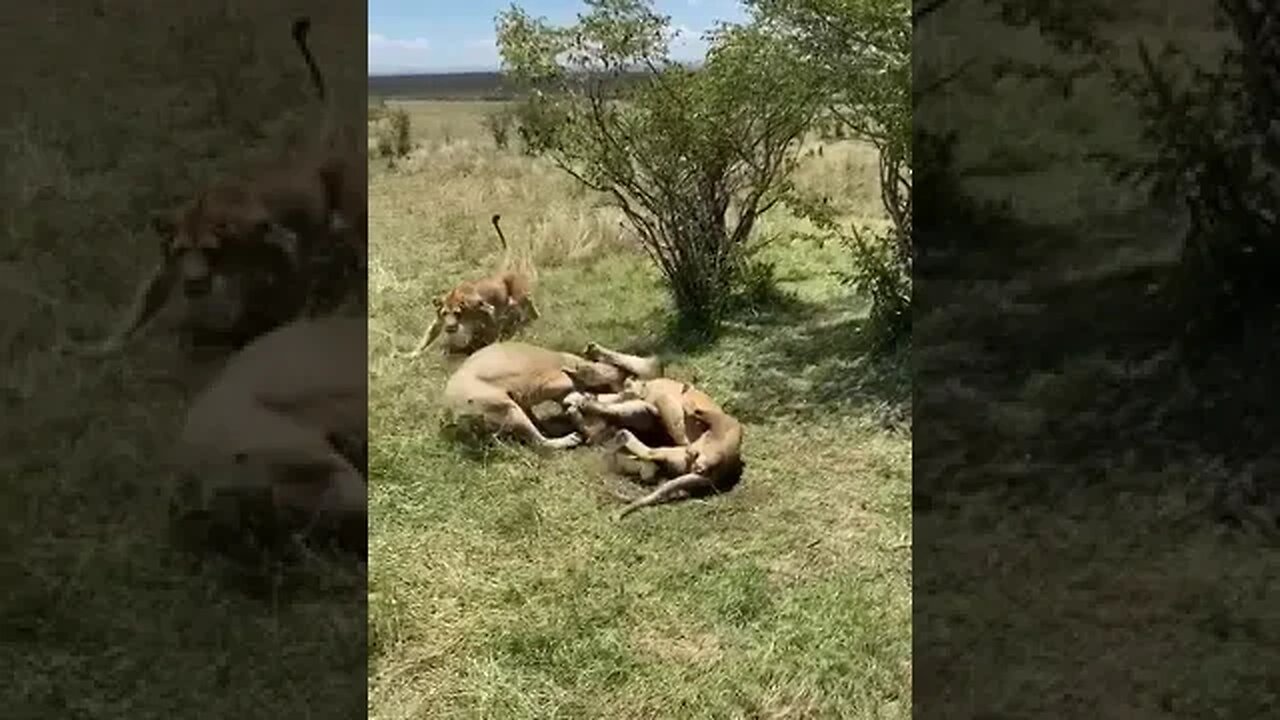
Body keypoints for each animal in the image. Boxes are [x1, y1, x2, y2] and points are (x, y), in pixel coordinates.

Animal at [67, 14, 363, 356]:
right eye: (182, 250)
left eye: (208, 249)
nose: (195, 281)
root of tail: (316, 149)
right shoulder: (168, 263)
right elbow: (143, 305)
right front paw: (101, 347)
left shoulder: (279, 241)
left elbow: (291, 290)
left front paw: (287, 327)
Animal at [401, 212, 537, 358]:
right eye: (444, 313)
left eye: (456, 313)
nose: (450, 327)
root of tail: (502, 271)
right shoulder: (438, 321)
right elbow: (427, 337)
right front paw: (411, 354)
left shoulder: (485, 308)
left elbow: (490, 330)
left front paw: (490, 346)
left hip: (521, 297)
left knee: (529, 304)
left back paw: (534, 319)